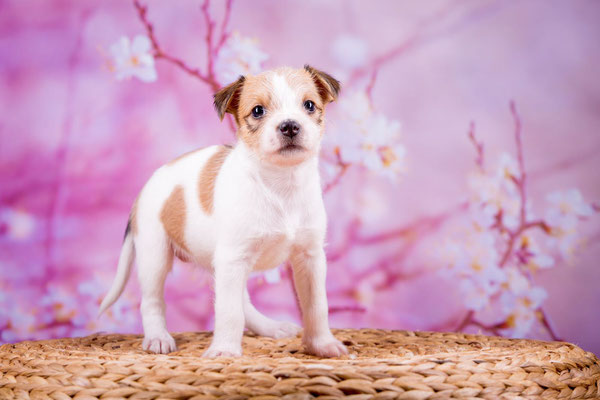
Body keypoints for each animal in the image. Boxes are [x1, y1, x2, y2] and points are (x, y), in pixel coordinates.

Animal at [98, 64, 346, 358]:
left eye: (309, 105)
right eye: (258, 111)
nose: (289, 125)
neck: (280, 186)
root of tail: (141, 192)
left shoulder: (309, 257)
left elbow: (317, 305)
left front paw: (322, 344)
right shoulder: (233, 258)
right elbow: (229, 311)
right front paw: (225, 351)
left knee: (243, 301)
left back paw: (270, 327)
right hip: (155, 256)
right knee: (152, 301)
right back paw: (158, 337)